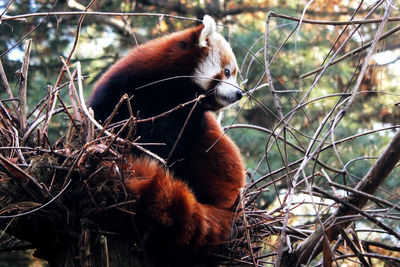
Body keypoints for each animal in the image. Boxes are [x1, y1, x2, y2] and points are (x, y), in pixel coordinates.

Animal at [88, 16, 245, 266]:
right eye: (227, 71)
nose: (240, 94)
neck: (165, 88)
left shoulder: (182, 118)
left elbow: (167, 149)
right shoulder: (119, 93)